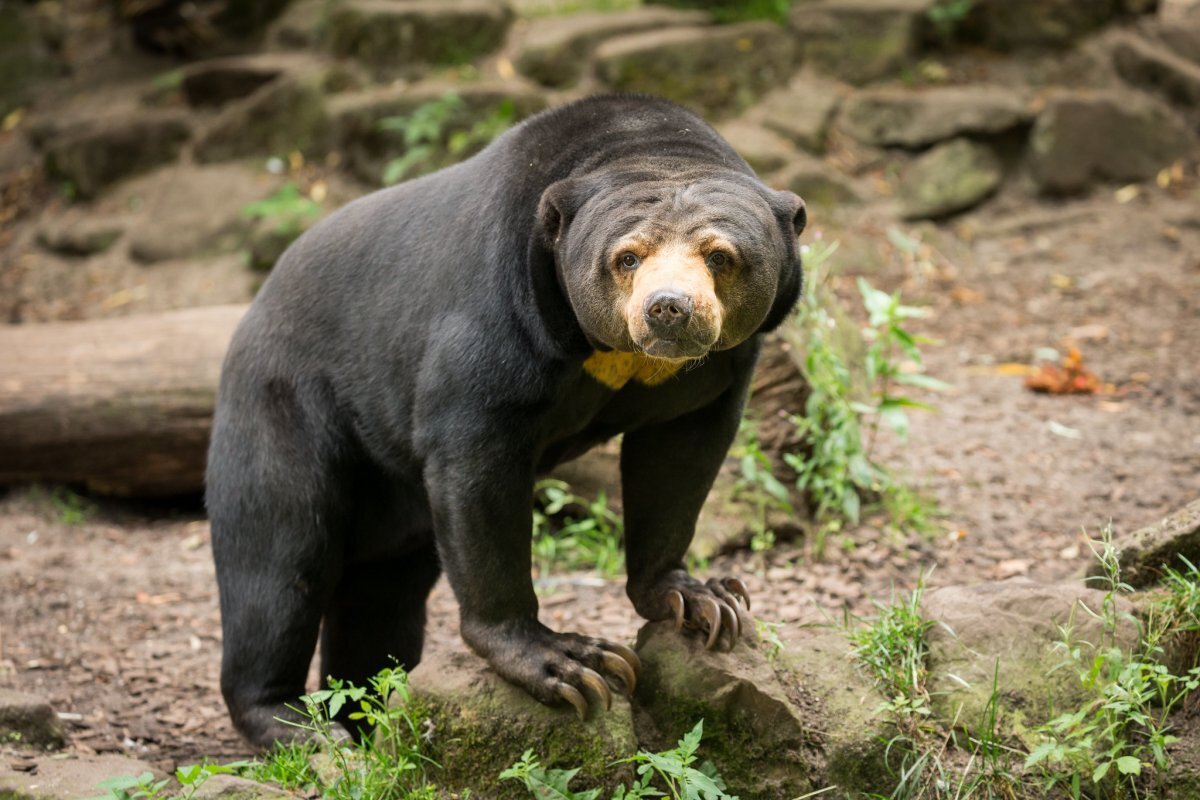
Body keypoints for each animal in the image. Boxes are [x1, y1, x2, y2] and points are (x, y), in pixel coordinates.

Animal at [206, 94, 806, 753]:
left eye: (719, 256)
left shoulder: (713, 371)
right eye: (627, 257)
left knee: (380, 593)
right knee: (279, 556)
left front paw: (703, 600)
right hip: (284, 403)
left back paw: (367, 712)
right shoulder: (496, 310)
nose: (668, 309)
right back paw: (298, 726)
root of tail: (254, 307)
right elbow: (477, 463)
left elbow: (678, 460)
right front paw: (571, 664)